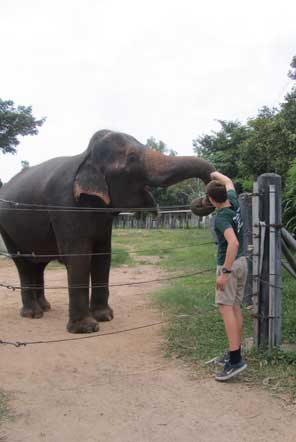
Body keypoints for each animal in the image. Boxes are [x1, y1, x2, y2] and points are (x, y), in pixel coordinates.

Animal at [0, 129, 214, 334]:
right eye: (132, 158)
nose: (201, 200)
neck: (86, 157)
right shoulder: (65, 206)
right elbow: (79, 257)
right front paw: (86, 329)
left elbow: (103, 255)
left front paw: (105, 317)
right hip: (6, 230)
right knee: (22, 263)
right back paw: (33, 314)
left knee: (38, 264)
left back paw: (45, 307)